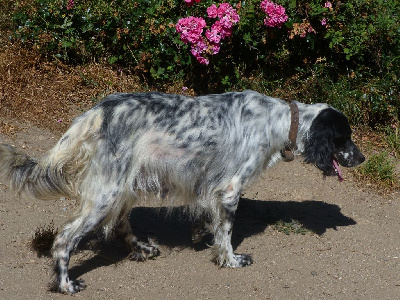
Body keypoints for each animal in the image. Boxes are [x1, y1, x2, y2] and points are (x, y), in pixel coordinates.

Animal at [0, 91, 366, 292]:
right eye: (343, 138)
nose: (362, 158)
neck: (277, 121)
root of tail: (95, 113)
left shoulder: (215, 189)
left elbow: (211, 220)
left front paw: (200, 232)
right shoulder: (231, 189)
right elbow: (227, 233)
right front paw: (231, 260)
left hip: (124, 186)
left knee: (121, 224)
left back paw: (142, 248)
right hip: (106, 194)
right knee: (64, 239)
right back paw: (66, 284)